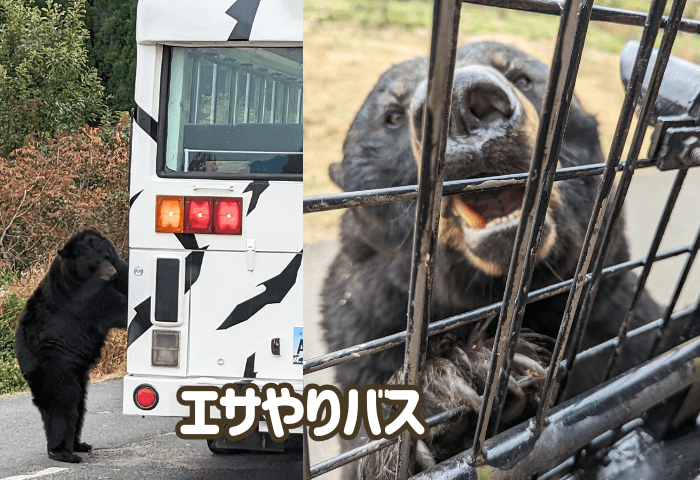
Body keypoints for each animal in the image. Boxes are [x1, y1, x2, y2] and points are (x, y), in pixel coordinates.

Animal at [15, 231, 129, 464]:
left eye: (107, 255)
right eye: (93, 264)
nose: (110, 275)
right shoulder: (85, 299)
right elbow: (118, 306)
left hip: (75, 373)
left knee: (79, 404)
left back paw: (79, 444)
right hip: (56, 367)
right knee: (63, 404)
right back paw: (63, 452)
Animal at [320, 41, 676, 476]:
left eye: (523, 77)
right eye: (392, 116)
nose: (461, 105)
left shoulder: (616, 315)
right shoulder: (363, 330)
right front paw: (455, 384)